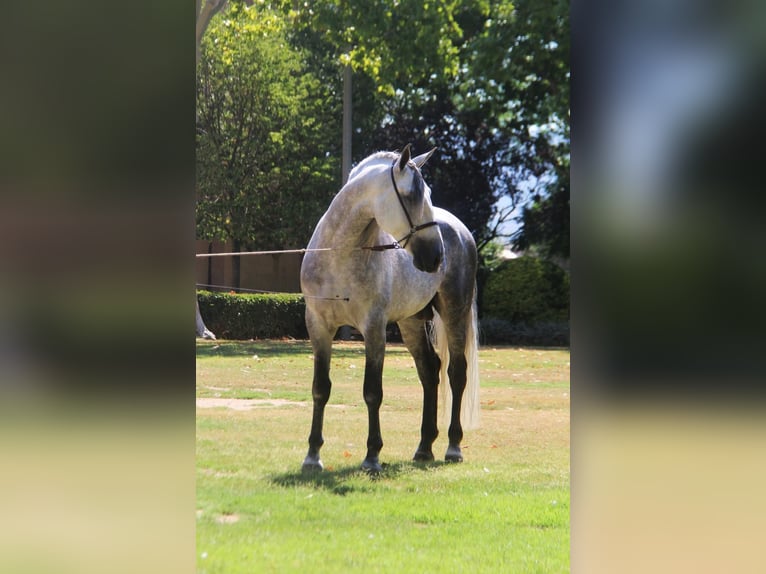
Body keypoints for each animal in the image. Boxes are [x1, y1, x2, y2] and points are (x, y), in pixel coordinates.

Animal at [302, 145, 476, 476]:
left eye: (427, 194)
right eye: (411, 196)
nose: (436, 257)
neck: (341, 254)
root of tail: (460, 230)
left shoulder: (374, 328)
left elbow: (373, 392)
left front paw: (372, 457)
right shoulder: (318, 327)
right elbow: (320, 388)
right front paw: (313, 456)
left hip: (454, 313)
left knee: (456, 373)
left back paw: (453, 447)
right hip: (410, 324)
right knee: (429, 372)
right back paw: (424, 447)